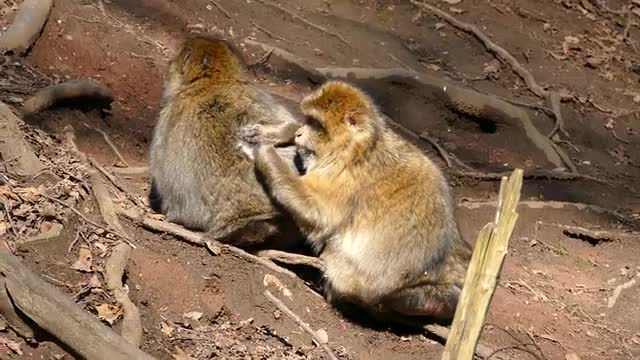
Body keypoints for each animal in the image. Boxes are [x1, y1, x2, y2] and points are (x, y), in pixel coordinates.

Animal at [248, 80, 472, 322]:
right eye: (307, 120)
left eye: (315, 124)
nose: (299, 133)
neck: (360, 150)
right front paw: (281, 132)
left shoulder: (345, 178)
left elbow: (319, 215)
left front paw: (266, 154)